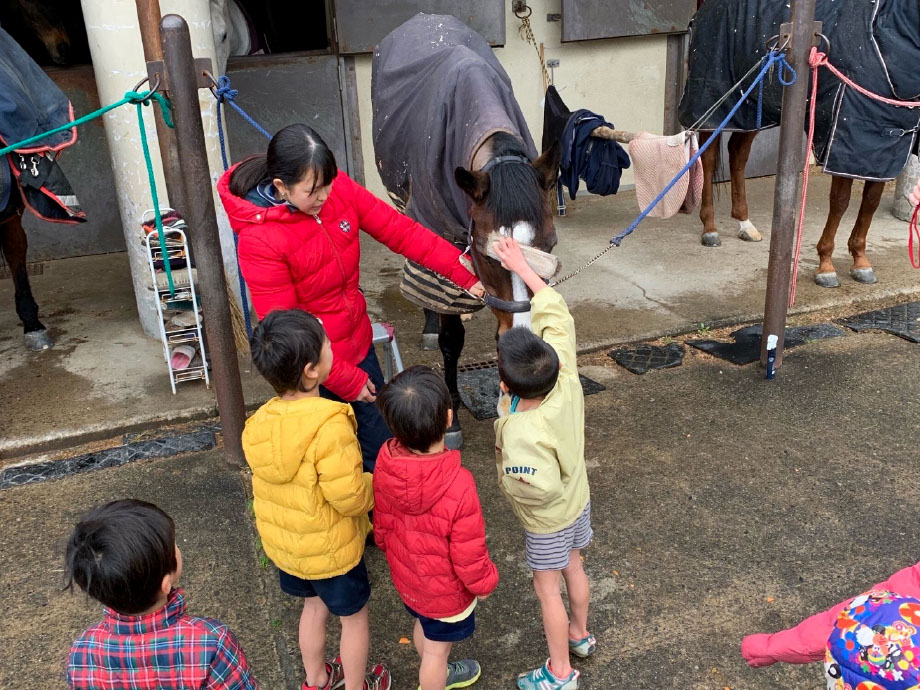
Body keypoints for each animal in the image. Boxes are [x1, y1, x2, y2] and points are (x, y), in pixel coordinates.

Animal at [370, 14, 556, 446]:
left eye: (549, 246)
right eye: (489, 257)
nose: (523, 336)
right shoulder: (439, 233)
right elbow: (450, 338)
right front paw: (450, 413)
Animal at [680, 0, 916, 286]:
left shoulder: (883, 148)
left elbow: (870, 202)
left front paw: (861, 261)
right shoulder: (841, 140)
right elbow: (840, 202)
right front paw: (826, 267)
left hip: (752, 106)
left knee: (737, 154)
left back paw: (745, 224)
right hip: (714, 102)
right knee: (709, 157)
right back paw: (710, 229)